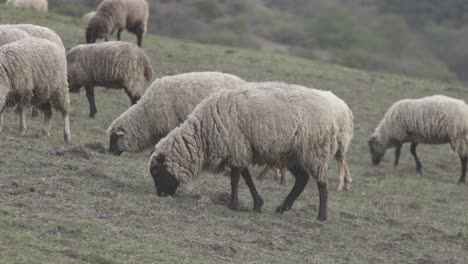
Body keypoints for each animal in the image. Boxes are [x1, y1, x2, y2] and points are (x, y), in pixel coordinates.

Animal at [150, 82, 354, 221]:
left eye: (157, 172)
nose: (161, 195)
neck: (202, 134)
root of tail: (335, 111)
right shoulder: (241, 149)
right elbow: (246, 178)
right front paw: (257, 204)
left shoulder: (237, 147)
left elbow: (235, 179)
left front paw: (233, 204)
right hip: (293, 154)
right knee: (302, 180)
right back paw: (283, 208)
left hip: (313, 151)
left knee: (321, 184)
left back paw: (321, 216)